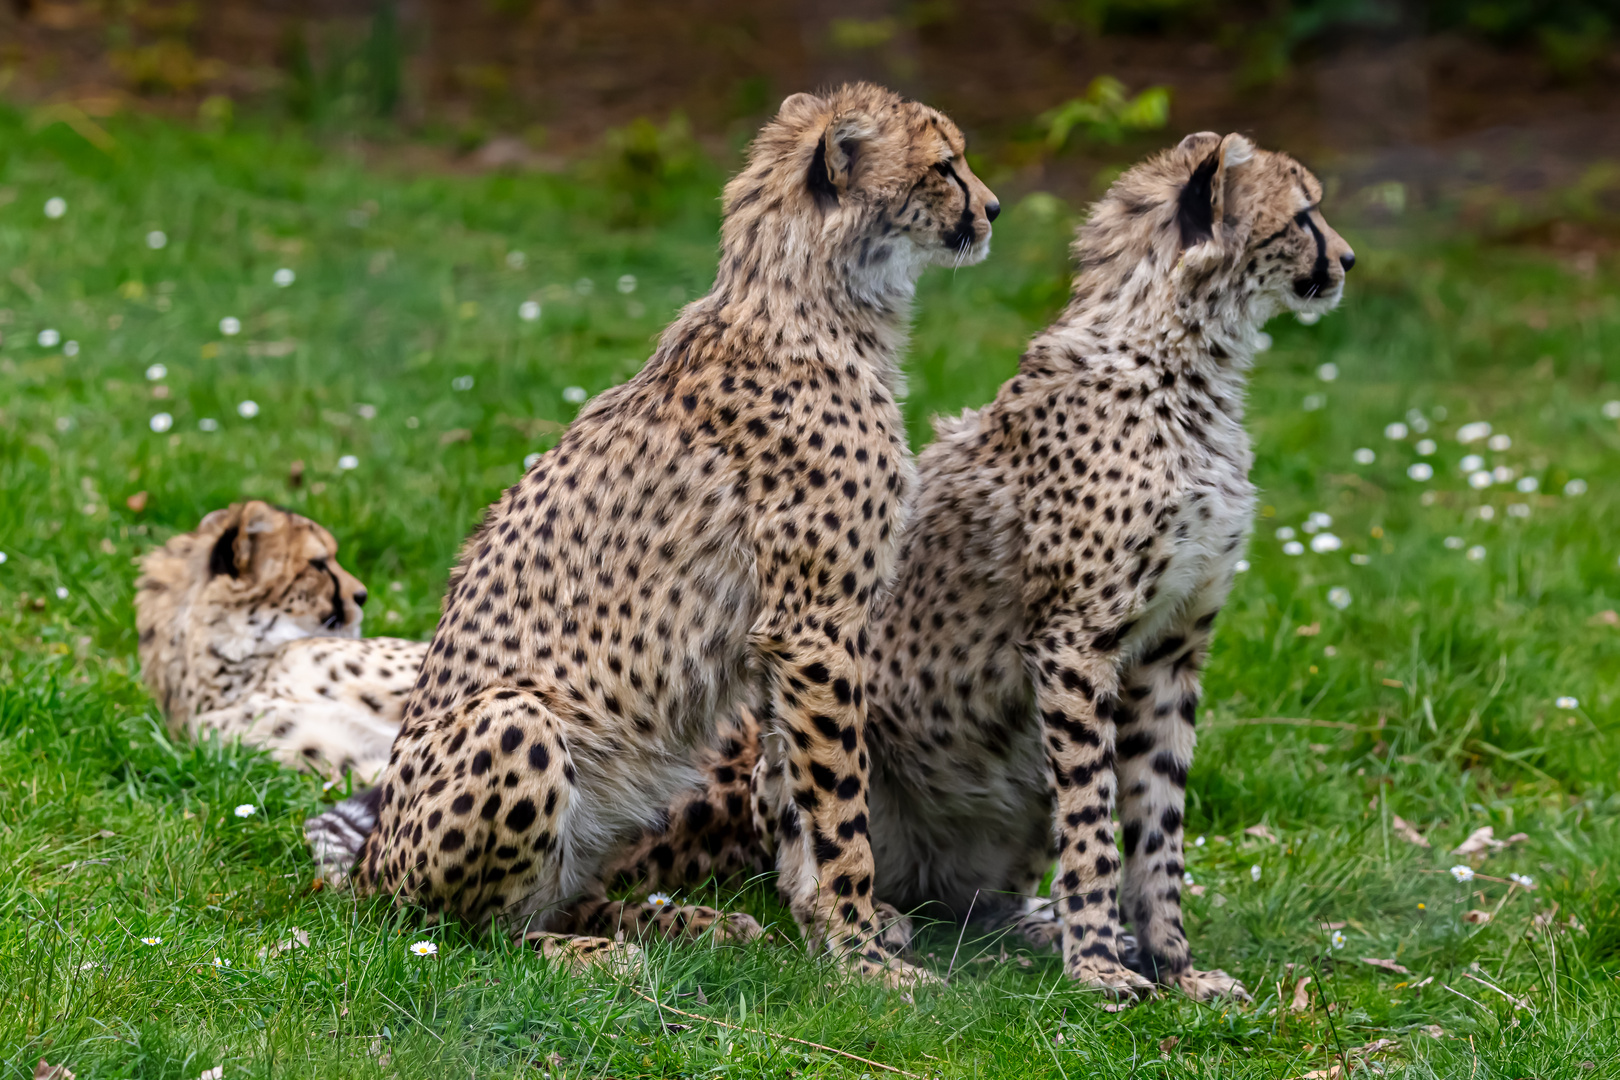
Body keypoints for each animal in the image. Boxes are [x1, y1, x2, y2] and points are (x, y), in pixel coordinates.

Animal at [309, 86, 997, 977]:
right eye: (945, 166)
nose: (993, 208)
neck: (809, 301)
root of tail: (368, 868)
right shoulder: (814, 624)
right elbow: (839, 805)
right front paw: (860, 955)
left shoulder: (787, 637)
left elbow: (796, 791)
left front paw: (829, 929)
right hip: (517, 724)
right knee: (467, 938)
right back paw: (599, 956)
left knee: (564, 896)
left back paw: (682, 924)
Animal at [855, 131, 1360, 1003]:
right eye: (1304, 215)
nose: (1349, 259)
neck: (1180, 360)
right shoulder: (1075, 642)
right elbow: (1093, 820)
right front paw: (1095, 965)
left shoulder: (1171, 650)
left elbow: (1157, 825)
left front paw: (1175, 966)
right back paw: (884, 920)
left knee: (973, 902)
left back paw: (1027, 925)